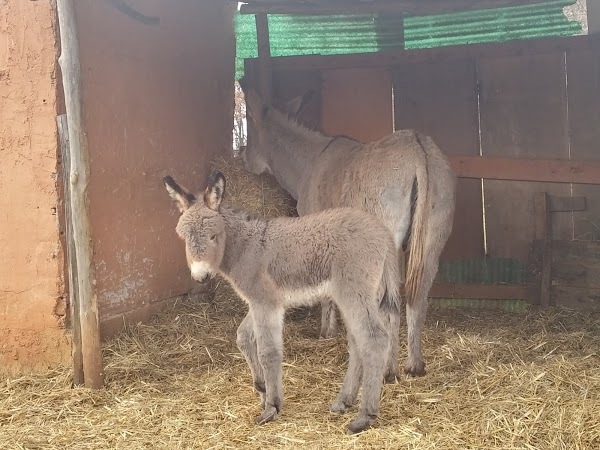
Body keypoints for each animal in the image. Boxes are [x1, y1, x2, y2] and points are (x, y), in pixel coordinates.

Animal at [163, 170, 404, 432]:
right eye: (184, 238)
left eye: (213, 236)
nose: (201, 276)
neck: (244, 248)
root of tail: (383, 232)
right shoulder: (259, 303)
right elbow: (243, 336)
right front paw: (261, 387)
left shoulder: (265, 302)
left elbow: (268, 350)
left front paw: (271, 407)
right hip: (361, 295)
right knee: (357, 340)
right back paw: (344, 401)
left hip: (354, 292)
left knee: (374, 338)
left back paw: (365, 416)